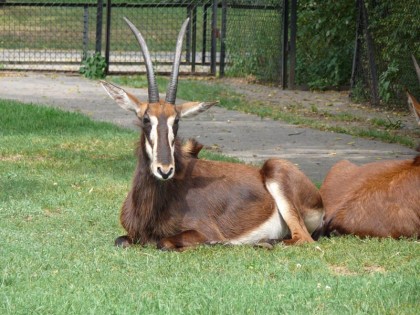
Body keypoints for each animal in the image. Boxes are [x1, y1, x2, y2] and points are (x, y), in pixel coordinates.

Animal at [100, 18, 324, 253]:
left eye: (176, 121)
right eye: (146, 119)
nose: (164, 170)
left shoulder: (202, 231)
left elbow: (164, 242)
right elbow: (120, 240)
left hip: (277, 172)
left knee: (302, 239)